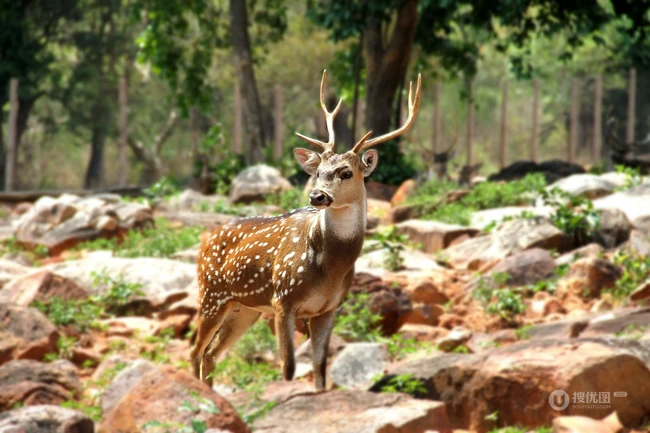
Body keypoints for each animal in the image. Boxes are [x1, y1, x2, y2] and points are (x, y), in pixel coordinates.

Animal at [191, 70, 422, 391]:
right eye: (318, 172)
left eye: (346, 172)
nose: (317, 196)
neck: (328, 269)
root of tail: (205, 240)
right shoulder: (283, 299)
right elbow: (288, 367)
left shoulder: (329, 307)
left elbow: (320, 368)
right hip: (211, 293)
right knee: (195, 351)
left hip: (245, 308)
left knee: (211, 354)